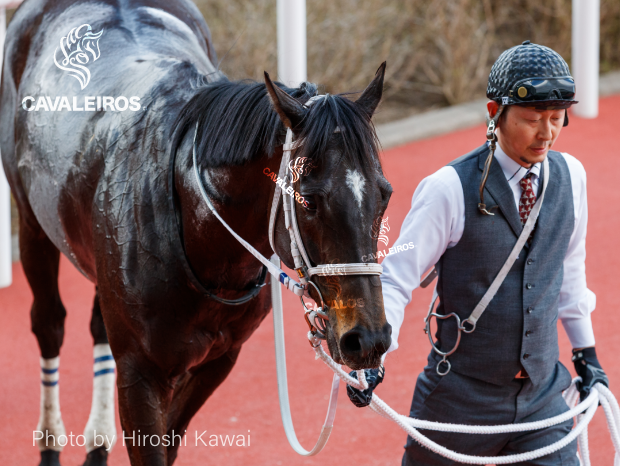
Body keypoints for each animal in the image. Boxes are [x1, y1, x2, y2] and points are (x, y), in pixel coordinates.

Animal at [1, 1, 392, 464]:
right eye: (309, 201)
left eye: (385, 195)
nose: (367, 338)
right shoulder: (140, 371)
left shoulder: (218, 358)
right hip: (31, 222)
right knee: (49, 323)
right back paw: (50, 442)